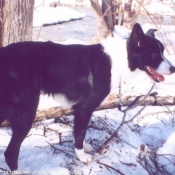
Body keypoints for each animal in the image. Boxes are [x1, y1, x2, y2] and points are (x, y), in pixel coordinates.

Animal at [0, 23, 174, 171]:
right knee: (10, 152)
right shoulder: (84, 108)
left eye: (163, 52)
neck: (120, 60)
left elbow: (80, 130)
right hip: (26, 112)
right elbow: (81, 132)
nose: (173, 69)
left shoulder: (80, 109)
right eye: (154, 54)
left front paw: (84, 147)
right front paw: (82, 156)